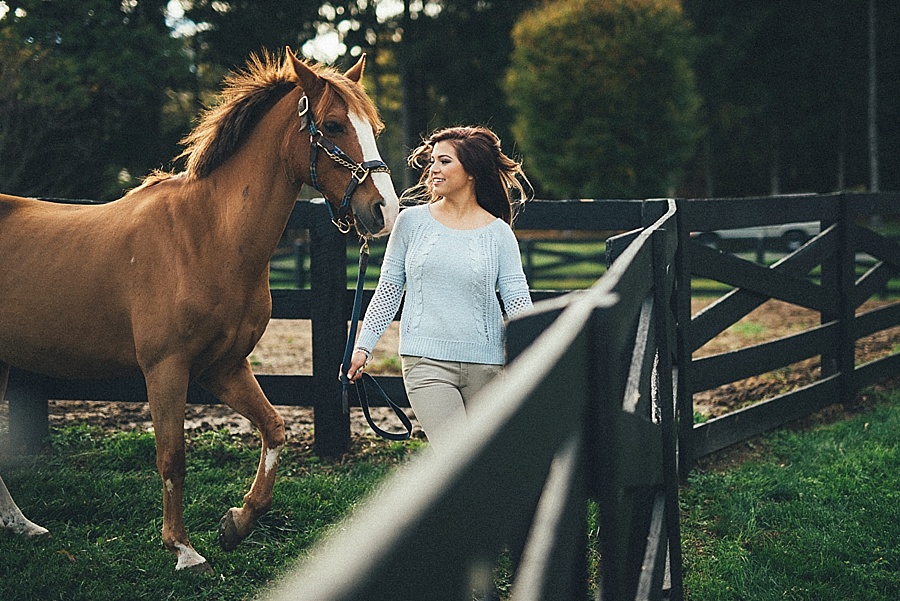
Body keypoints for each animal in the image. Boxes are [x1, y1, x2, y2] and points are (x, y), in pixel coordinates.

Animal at [0, 49, 398, 568]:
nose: (385, 211)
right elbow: (172, 456)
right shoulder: (166, 370)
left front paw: (237, 523)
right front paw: (183, 549)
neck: (205, 236)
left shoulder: (223, 367)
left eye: (374, 126)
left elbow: (274, 429)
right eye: (332, 125)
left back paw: (22, 525)